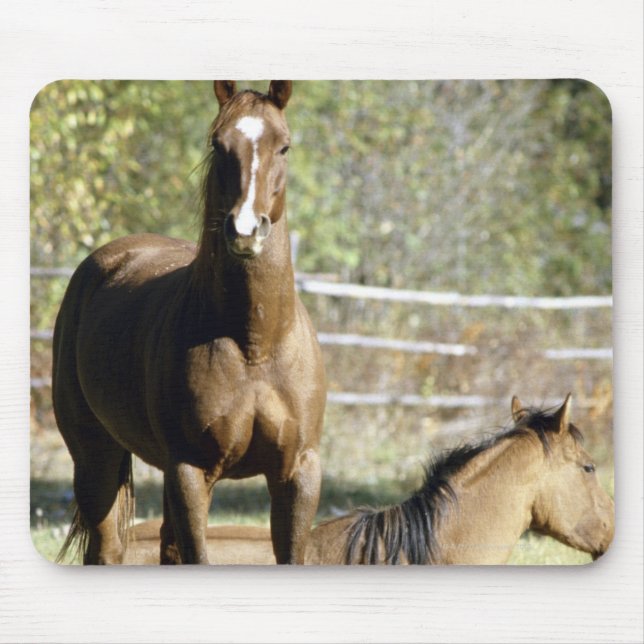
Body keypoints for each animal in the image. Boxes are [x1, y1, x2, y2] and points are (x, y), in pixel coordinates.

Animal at [52, 80, 327, 565]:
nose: (245, 231)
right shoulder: (190, 472)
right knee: (106, 549)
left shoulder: (298, 474)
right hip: (94, 457)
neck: (255, 346)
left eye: (285, 146)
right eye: (219, 144)